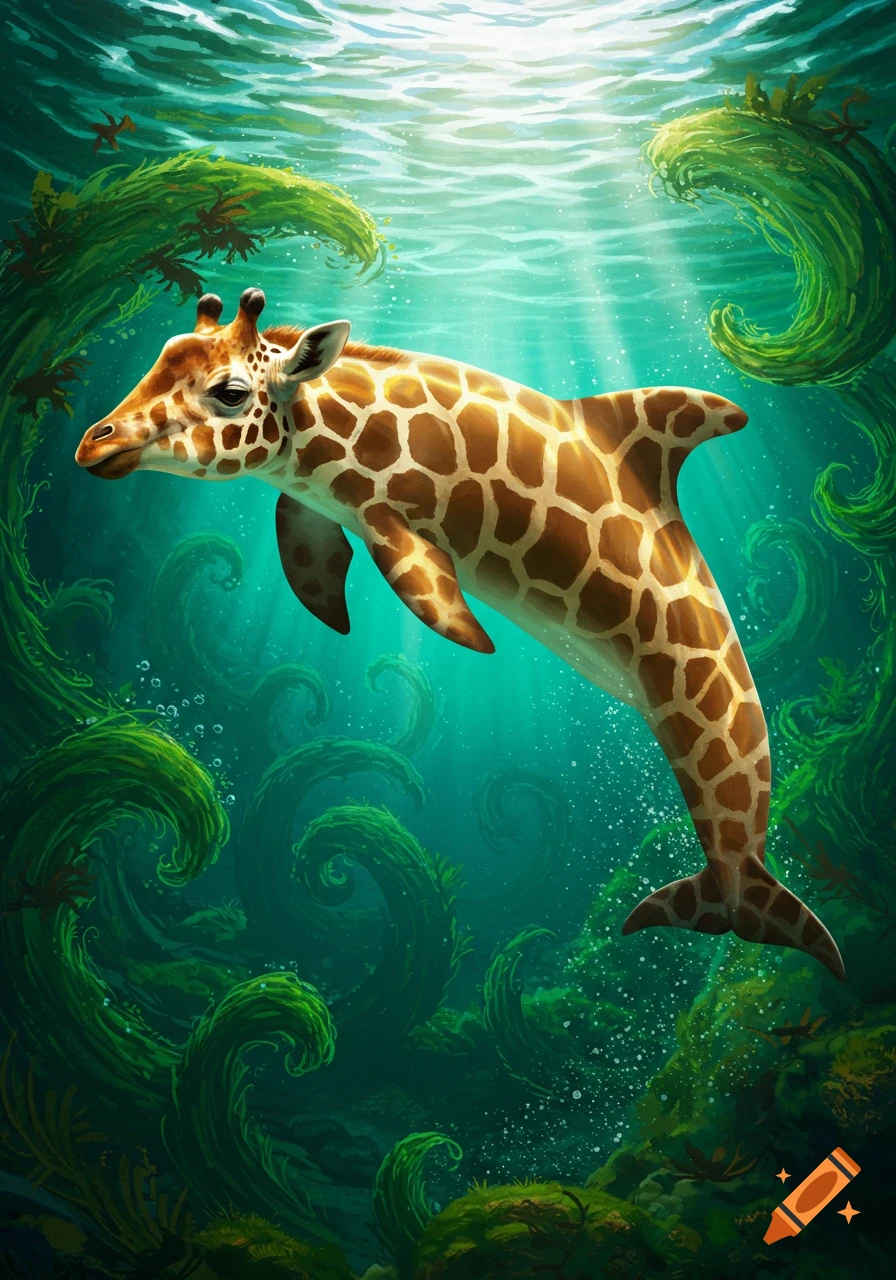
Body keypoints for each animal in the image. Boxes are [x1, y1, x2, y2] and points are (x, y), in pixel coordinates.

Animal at [74, 287, 845, 980]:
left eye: (231, 393)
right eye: (162, 353)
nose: (92, 442)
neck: (327, 416)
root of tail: (738, 892)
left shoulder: (391, 522)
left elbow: (430, 599)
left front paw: (466, 634)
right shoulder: (308, 505)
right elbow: (309, 565)